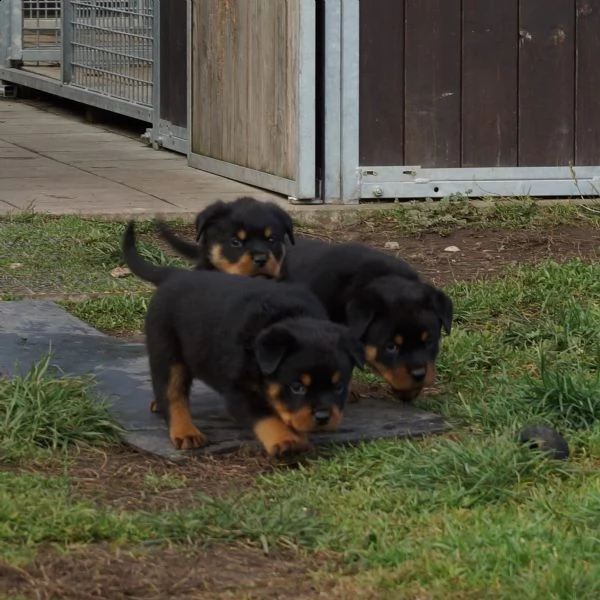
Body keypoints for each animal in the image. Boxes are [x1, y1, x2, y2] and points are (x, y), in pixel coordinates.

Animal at [122, 223, 364, 458]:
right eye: (297, 387)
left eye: (339, 386)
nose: (323, 417)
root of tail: (174, 274)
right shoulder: (239, 391)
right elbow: (266, 416)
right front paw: (286, 440)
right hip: (167, 349)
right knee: (172, 393)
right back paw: (185, 432)